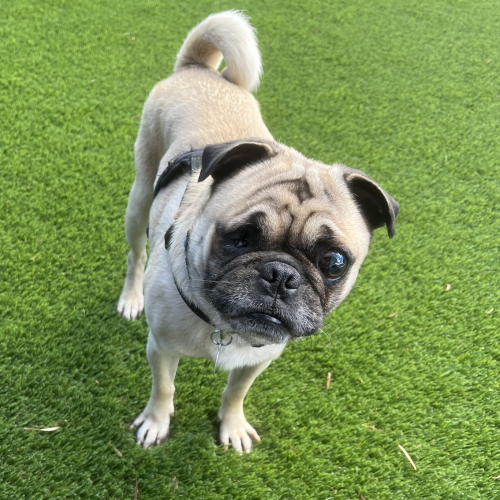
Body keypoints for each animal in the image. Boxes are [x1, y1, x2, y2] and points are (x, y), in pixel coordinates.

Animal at [117, 11, 399, 453]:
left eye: (335, 263)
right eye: (240, 239)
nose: (280, 275)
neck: (225, 329)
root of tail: (199, 69)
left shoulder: (260, 359)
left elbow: (236, 391)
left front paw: (231, 425)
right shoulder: (160, 349)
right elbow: (164, 388)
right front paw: (156, 422)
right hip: (141, 195)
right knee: (136, 253)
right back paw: (131, 298)